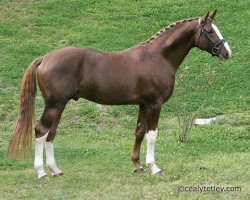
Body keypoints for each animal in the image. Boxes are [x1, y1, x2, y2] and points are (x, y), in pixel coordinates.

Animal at [6, 11, 231, 178]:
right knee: (40, 131)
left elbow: (139, 132)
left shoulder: (143, 104)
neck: (157, 57)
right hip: (54, 105)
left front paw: (137, 166)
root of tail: (44, 58)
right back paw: (41, 172)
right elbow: (152, 136)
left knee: (50, 134)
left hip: (59, 105)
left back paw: (55, 170)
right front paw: (154, 167)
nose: (227, 52)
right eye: (209, 31)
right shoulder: (154, 104)